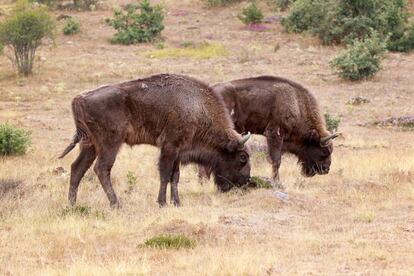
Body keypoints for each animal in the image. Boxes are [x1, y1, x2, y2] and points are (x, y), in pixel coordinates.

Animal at [59, 73, 251, 207]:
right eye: (242, 157)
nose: (245, 182)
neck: (196, 107)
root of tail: (79, 99)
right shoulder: (169, 148)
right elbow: (165, 175)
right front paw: (162, 203)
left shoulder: (178, 151)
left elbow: (175, 176)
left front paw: (177, 203)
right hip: (110, 144)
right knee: (101, 169)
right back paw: (116, 204)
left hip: (89, 145)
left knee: (77, 168)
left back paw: (72, 205)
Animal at [199, 75, 338, 183]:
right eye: (324, 150)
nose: (326, 169)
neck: (296, 103)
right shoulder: (274, 134)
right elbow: (276, 161)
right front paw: (276, 181)